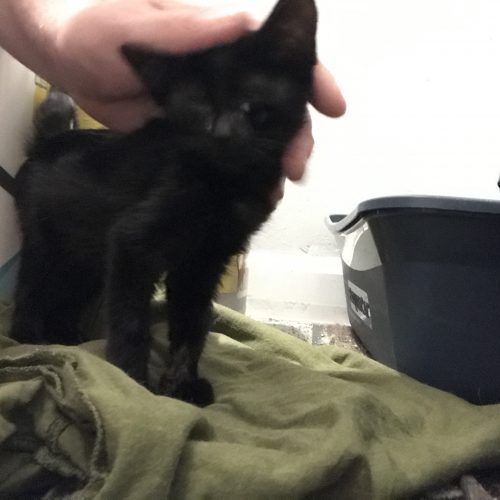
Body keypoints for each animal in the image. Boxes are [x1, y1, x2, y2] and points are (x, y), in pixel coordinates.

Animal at [11, 0, 317, 406]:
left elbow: (191, 324)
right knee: (30, 291)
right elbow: (129, 322)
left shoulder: (203, 262)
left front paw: (183, 383)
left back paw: (68, 339)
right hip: (47, 245)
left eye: (250, 103)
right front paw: (133, 384)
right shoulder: (130, 245)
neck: (225, 185)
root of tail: (49, 141)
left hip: (86, 256)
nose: (223, 134)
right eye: (199, 110)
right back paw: (30, 340)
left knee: (66, 297)